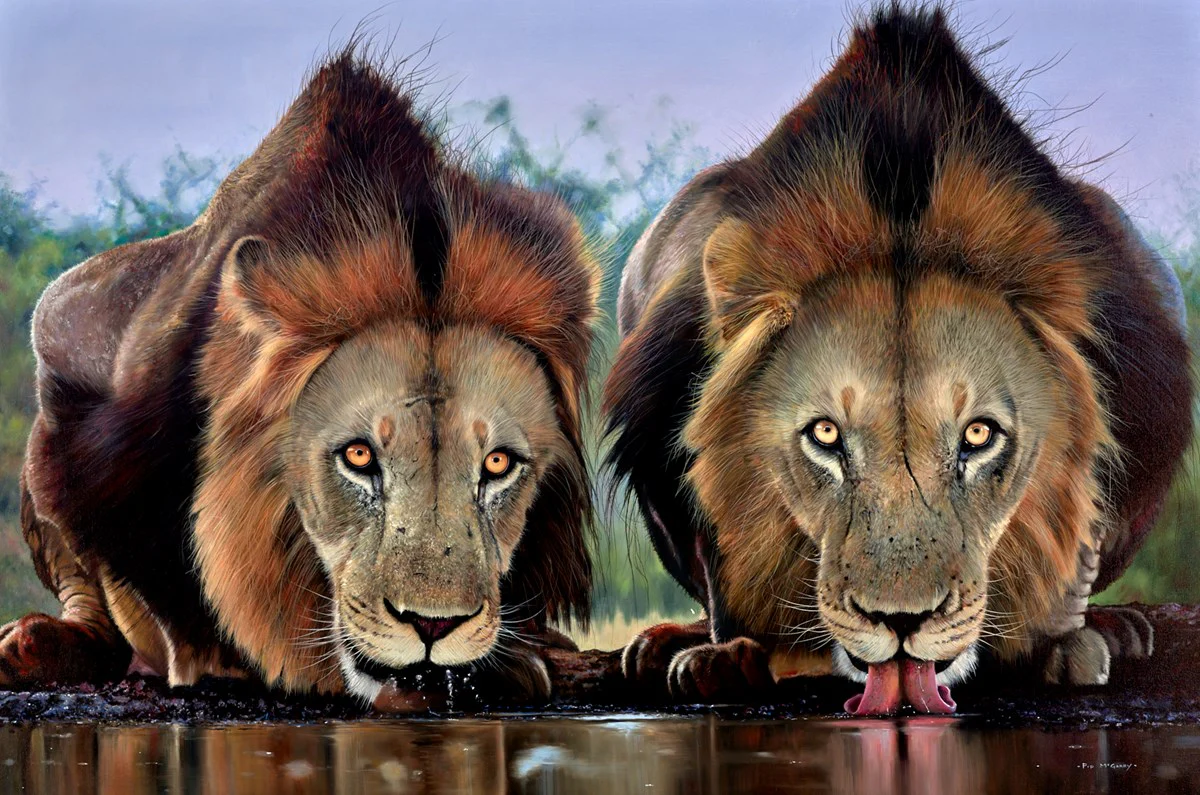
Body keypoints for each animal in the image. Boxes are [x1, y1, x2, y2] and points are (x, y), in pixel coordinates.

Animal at [604, 4, 1192, 714]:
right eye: (825, 435)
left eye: (979, 436)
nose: (902, 622)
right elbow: (714, 542)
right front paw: (723, 655)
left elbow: (1083, 528)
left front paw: (1061, 642)